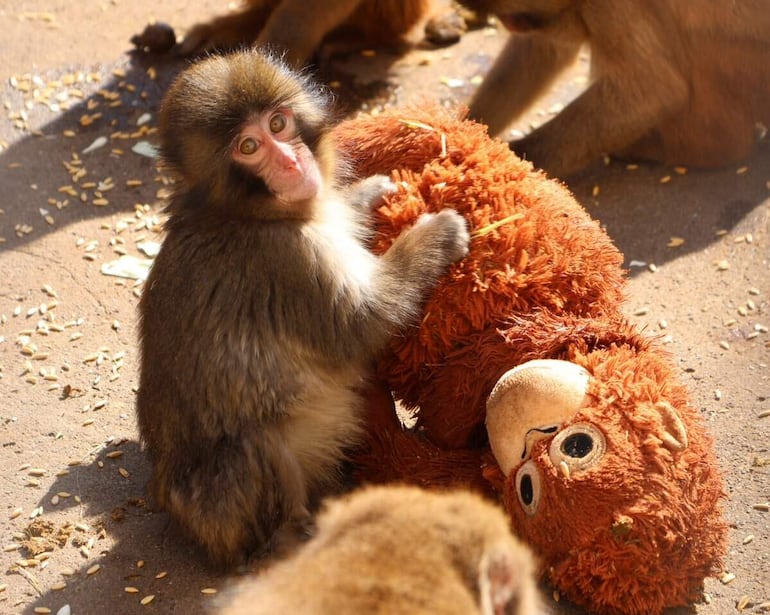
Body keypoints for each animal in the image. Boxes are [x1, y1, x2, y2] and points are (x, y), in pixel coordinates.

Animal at [136, 48, 470, 569]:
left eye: (279, 123)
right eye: (249, 146)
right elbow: (362, 324)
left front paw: (366, 194)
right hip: (222, 509)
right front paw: (435, 236)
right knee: (255, 445)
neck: (245, 213)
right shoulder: (287, 260)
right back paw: (294, 537)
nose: (292, 162)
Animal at [459, 0, 770, 178]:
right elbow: (545, 49)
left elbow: (652, 91)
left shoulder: (612, 5)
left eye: (512, 17)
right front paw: (465, 127)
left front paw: (509, 165)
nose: (510, 24)